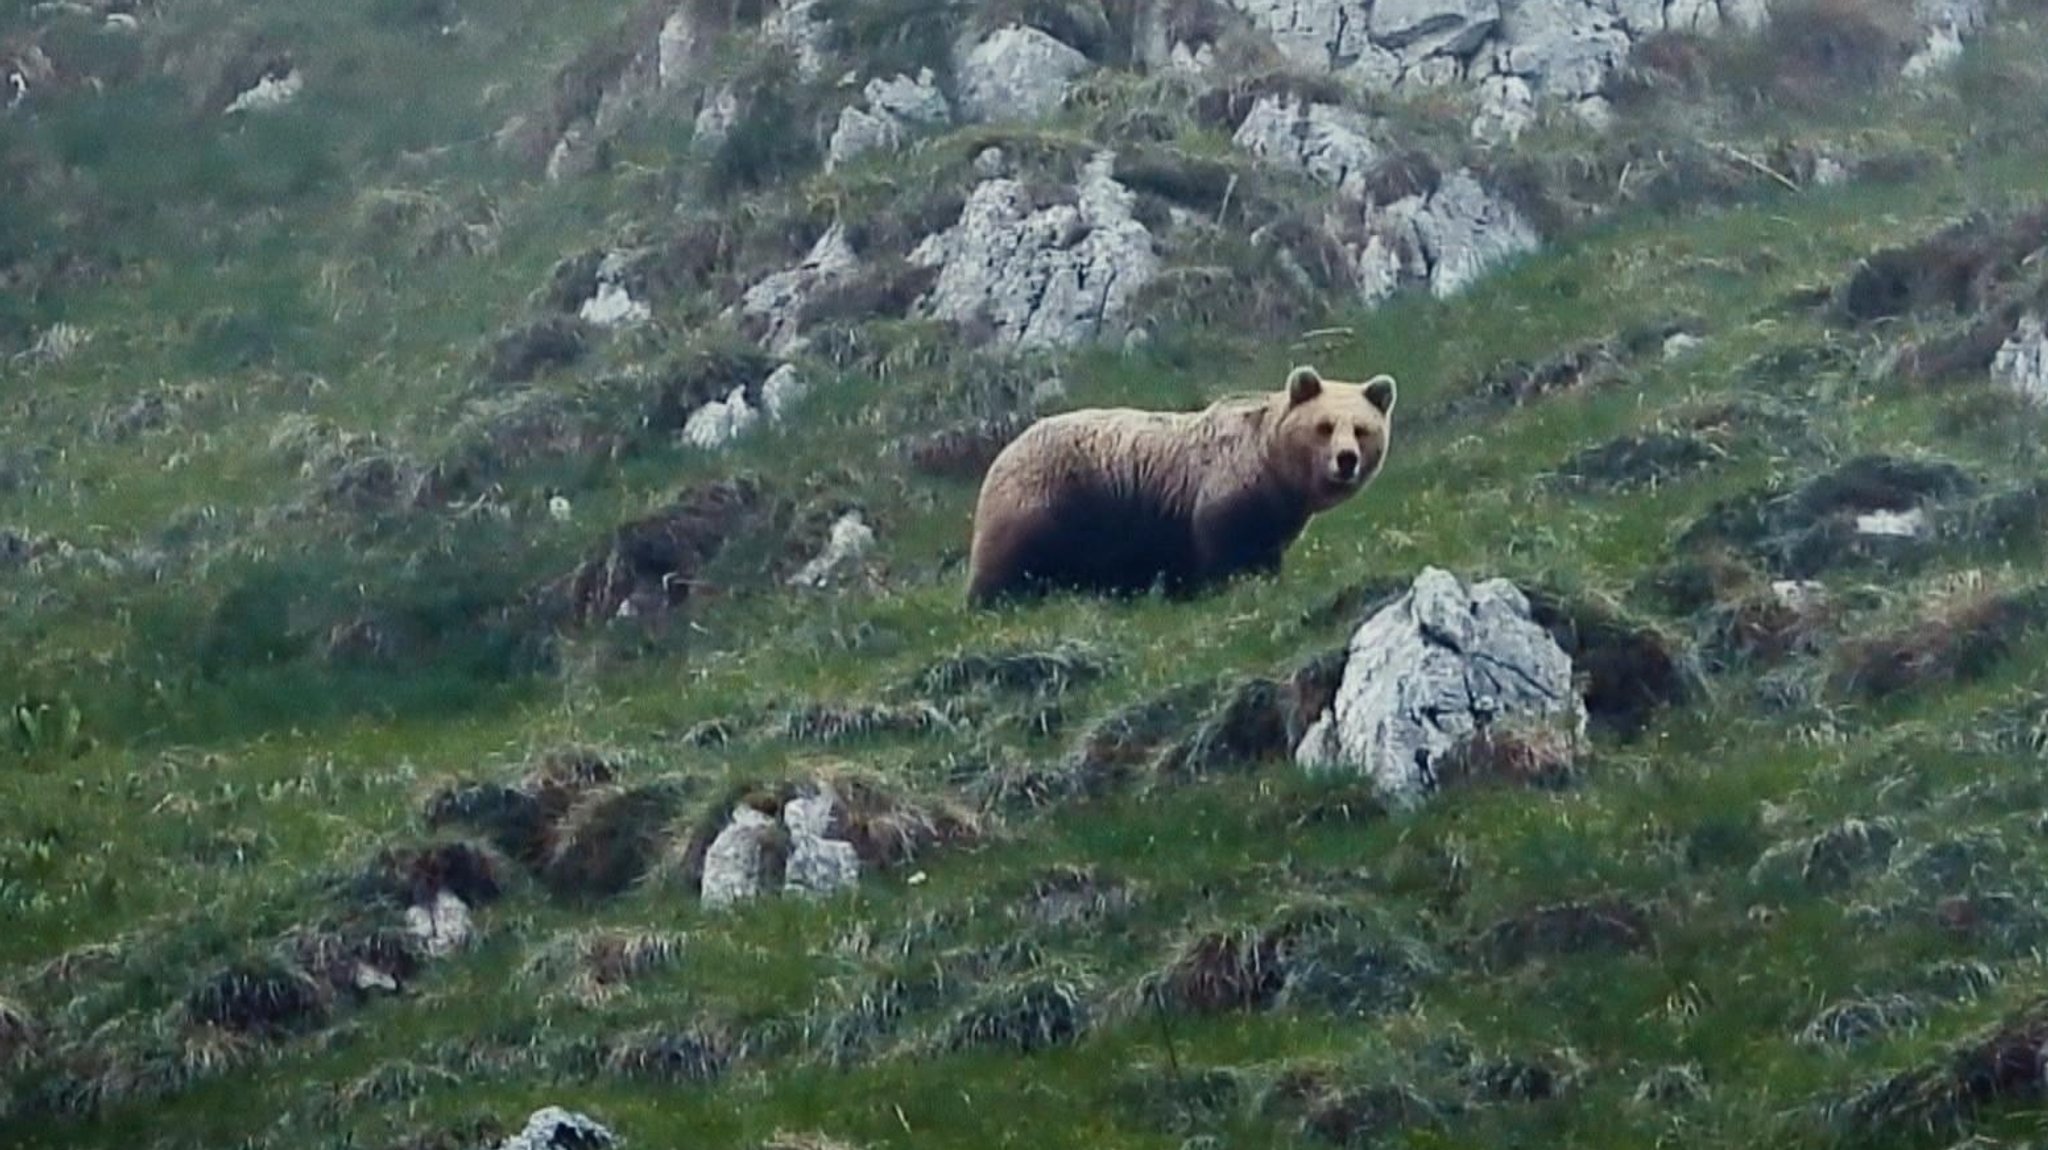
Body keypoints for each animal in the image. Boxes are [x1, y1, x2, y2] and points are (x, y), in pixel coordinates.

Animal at [958, 362, 1392, 605]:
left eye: (1362, 428)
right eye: (1324, 426)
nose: (1346, 459)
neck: (1274, 475)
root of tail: (1002, 450)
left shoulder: (1274, 520)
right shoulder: (1222, 493)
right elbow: (1220, 550)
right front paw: (1225, 587)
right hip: (1048, 503)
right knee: (1008, 561)